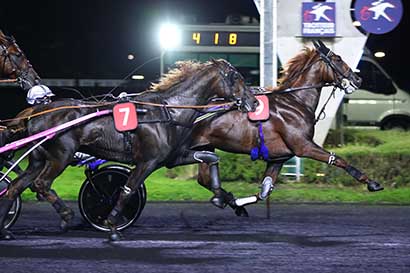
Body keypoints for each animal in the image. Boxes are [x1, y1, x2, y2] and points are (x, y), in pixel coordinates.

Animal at [0, 58, 256, 239]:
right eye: (236, 77)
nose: (253, 102)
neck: (168, 111)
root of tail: (33, 113)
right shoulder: (147, 162)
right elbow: (127, 189)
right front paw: (112, 225)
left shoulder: (171, 158)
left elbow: (211, 157)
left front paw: (226, 199)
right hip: (61, 156)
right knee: (41, 184)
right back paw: (65, 215)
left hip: (38, 159)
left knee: (15, 187)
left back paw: (5, 229)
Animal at [191, 40, 382, 215]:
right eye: (338, 58)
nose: (358, 79)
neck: (296, 101)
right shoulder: (303, 146)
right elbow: (338, 159)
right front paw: (372, 182)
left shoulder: (278, 158)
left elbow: (264, 191)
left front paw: (236, 203)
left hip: (206, 146)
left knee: (203, 178)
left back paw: (224, 199)